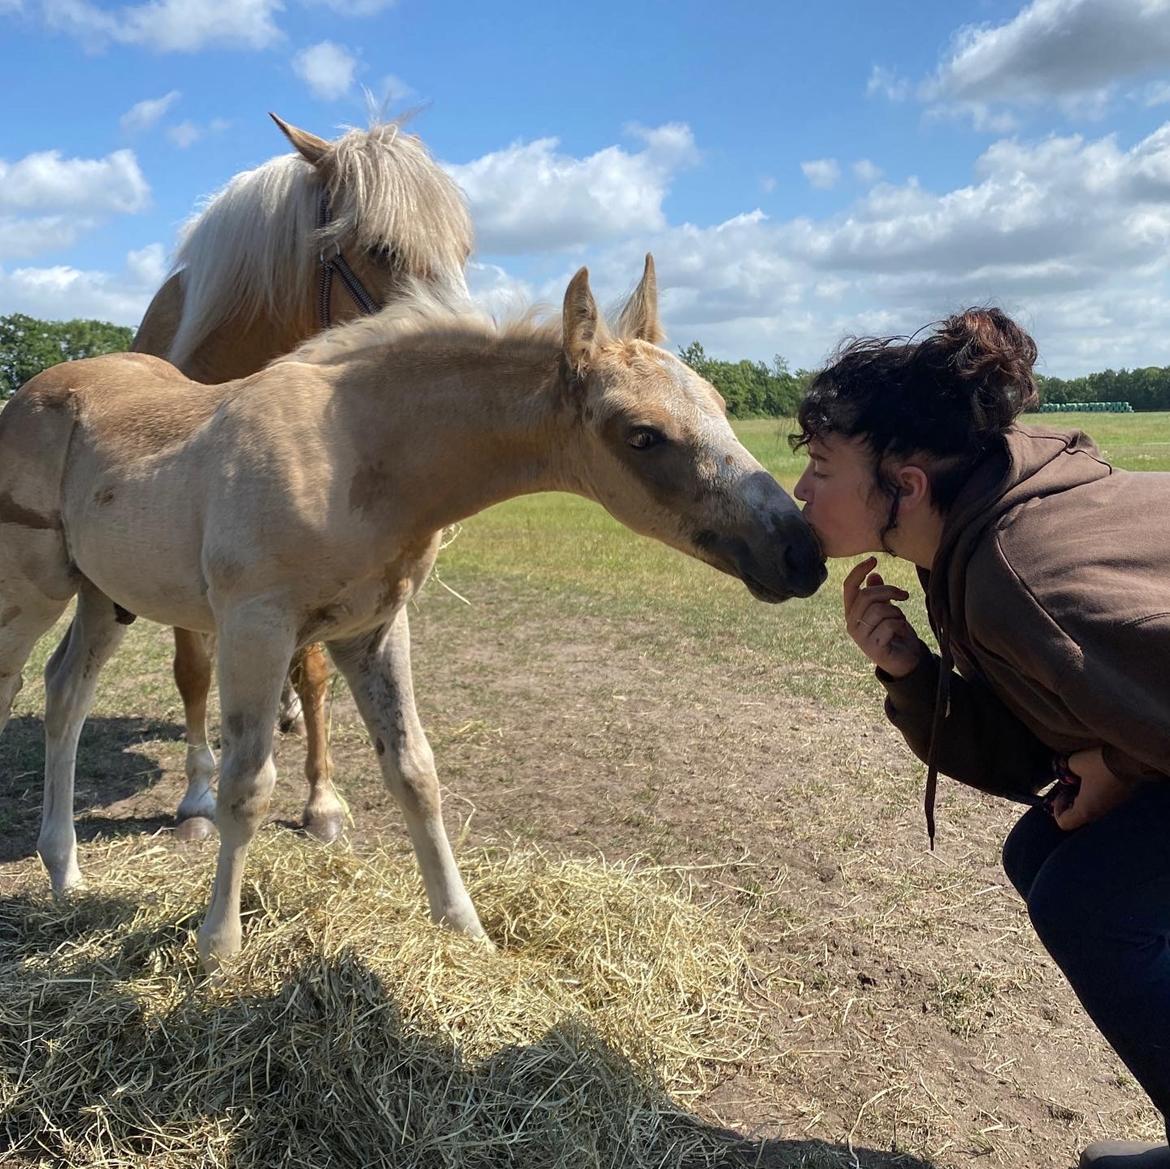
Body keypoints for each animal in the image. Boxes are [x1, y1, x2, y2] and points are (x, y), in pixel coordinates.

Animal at [0, 258, 823, 968]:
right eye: (642, 435)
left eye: (720, 406)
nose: (802, 553)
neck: (355, 454)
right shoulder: (255, 626)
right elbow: (246, 785)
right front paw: (218, 949)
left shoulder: (375, 629)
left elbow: (415, 772)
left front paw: (465, 927)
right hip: (31, 590)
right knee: (18, 684)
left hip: (104, 596)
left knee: (66, 692)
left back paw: (65, 871)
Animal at [131, 114, 470, 851]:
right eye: (379, 248)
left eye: (464, 251)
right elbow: (192, 669)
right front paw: (197, 796)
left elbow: (314, 674)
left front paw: (322, 801)